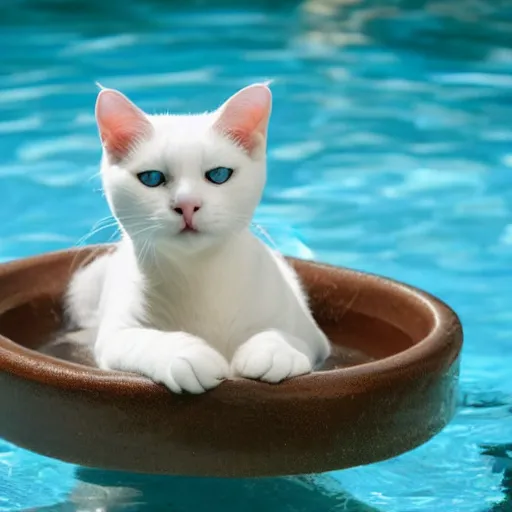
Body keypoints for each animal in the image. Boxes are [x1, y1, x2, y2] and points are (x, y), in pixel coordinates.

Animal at [64, 85, 330, 396]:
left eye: (218, 174)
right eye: (151, 178)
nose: (187, 204)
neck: (199, 274)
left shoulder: (316, 337)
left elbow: (290, 336)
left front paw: (274, 349)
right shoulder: (115, 335)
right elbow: (142, 340)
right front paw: (186, 355)